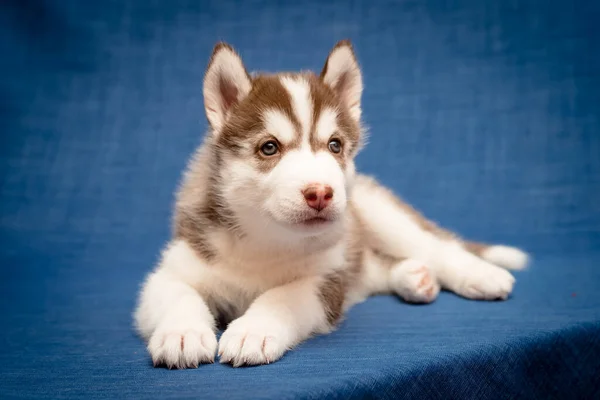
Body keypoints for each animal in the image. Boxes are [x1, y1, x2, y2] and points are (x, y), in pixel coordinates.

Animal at [134, 40, 528, 368]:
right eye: (269, 147)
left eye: (335, 145)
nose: (321, 192)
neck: (265, 239)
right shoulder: (174, 266)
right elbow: (177, 293)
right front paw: (182, 334)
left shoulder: (326, 278)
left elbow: (283, 295)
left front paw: (252, 330)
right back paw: (414, 279)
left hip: (378, 212)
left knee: (435, 245)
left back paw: (479, 275)